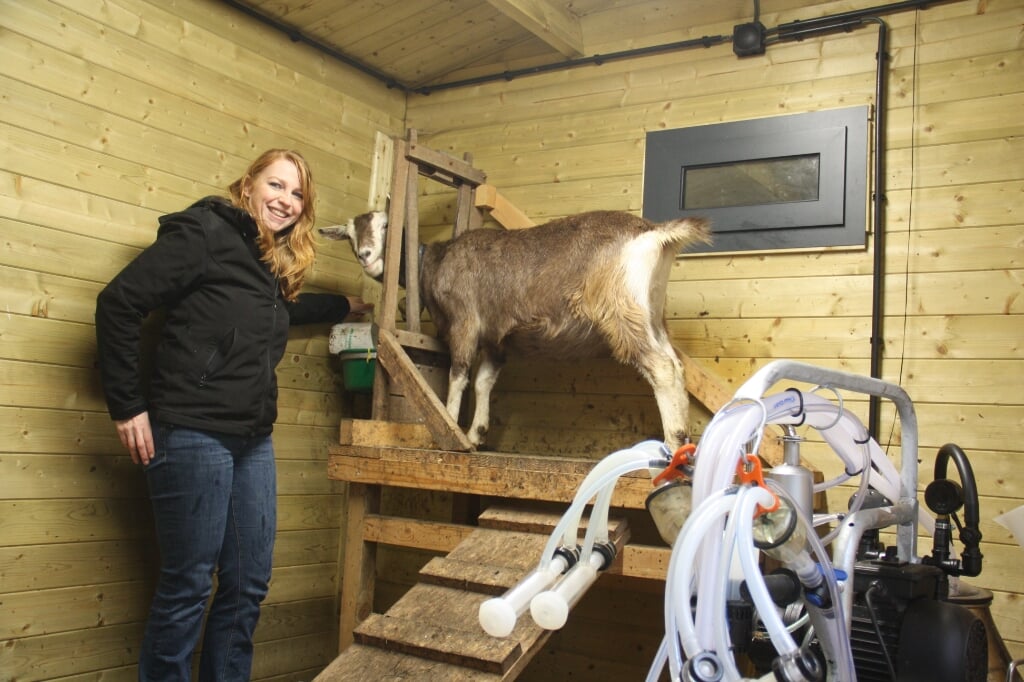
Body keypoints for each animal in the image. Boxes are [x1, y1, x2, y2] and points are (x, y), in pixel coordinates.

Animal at [323, 209, 708, 448]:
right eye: (349, 235)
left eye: (387, 226)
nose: (366, 256)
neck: (436, 262)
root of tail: (654, 233)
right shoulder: (496, 338)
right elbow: (484, 381)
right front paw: (476, 434)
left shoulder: (465, 321)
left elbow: (458, 374)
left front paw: (449, 429)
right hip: (650, 314)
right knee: (675, 364)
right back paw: (684, 442)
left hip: (620, 312)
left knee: (662, 367)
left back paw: (672, 441)